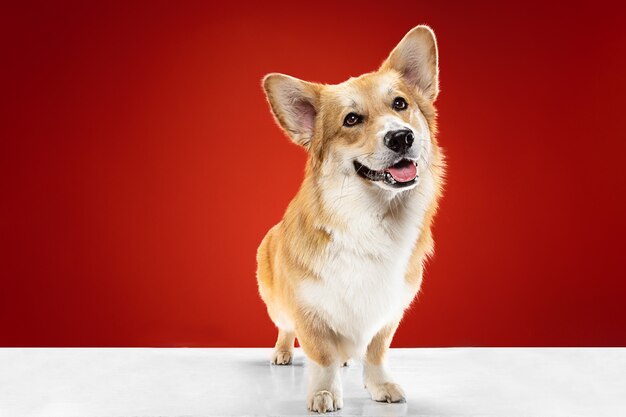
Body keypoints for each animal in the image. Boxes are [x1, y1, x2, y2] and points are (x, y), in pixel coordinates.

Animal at [255, 26, 444, 412]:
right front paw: (324, 393)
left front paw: (380, 385)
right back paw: (282, 353)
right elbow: (322, 356)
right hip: (276, 304)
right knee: (285, 329)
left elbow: (375, 352)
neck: (371, 219)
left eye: (400, 104)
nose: (401, 137)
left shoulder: (388, 312)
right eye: (352, 119)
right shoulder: (308, 309)